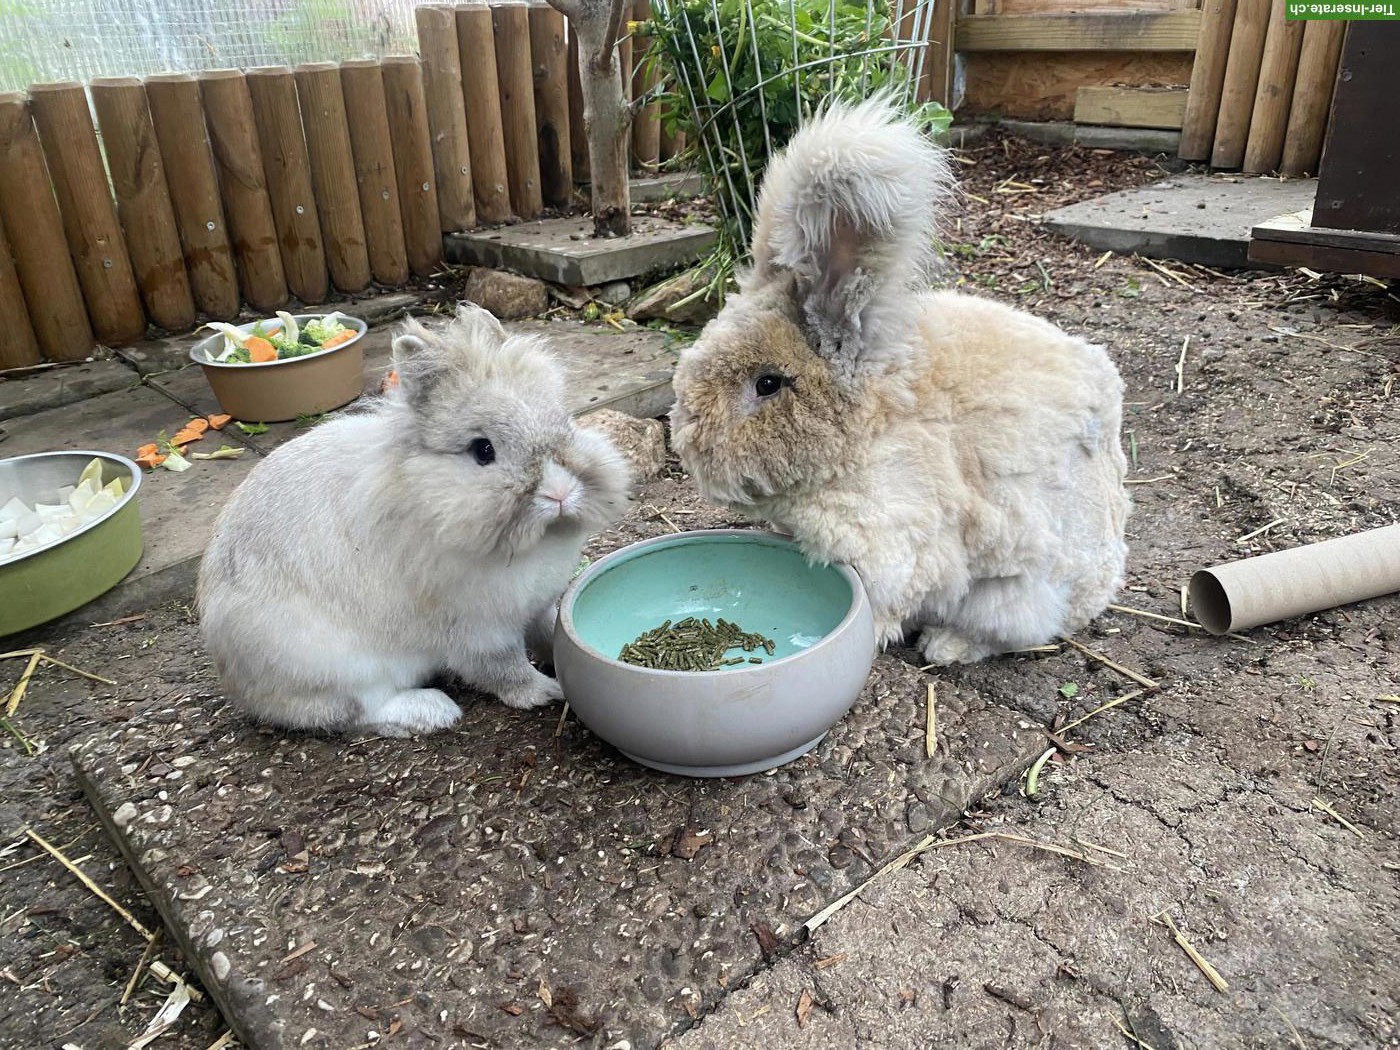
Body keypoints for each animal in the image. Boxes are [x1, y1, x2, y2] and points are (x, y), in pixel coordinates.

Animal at [197, 303, 632, 737]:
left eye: (564, 422)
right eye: (483, 450)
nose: (560, 493)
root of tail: (239, 687)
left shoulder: (536, 605)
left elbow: (550, 629)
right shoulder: (481, 629)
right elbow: (505, 671)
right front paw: (546, 691)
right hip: (338, 666)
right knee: (358, 710)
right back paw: (433, 711)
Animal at [669, 96, 1130, 665]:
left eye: (768, 384)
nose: (689, 450)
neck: (864, 432)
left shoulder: (895, 545)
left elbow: (892, 599)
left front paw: (880, 634)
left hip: (1016, 592)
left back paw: (946, 645)